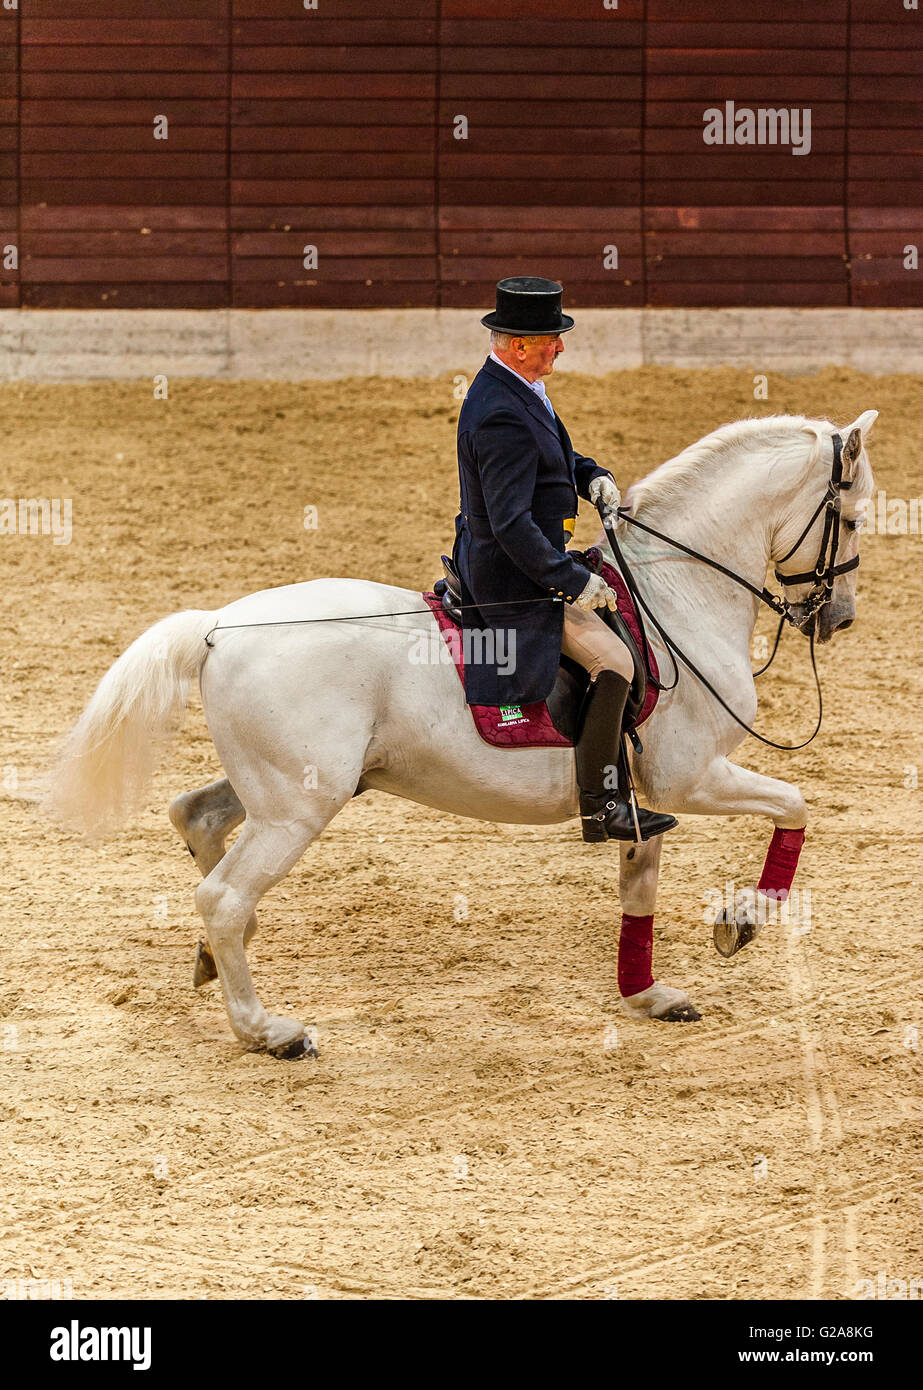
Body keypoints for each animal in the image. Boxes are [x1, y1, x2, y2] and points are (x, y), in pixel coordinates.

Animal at [43, 410, 876, 1058]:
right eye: (853, 518)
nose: (837, 620)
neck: (674, 593)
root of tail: (218, 626)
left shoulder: (643, 797)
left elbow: (638, 882)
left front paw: (645, 994)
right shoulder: (690, 776)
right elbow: (794, 806)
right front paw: (742, 921)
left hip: (286, 788)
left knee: (197, 817)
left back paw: (214, 962)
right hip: (298, 808)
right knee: (222, 897)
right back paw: (267, 1031)